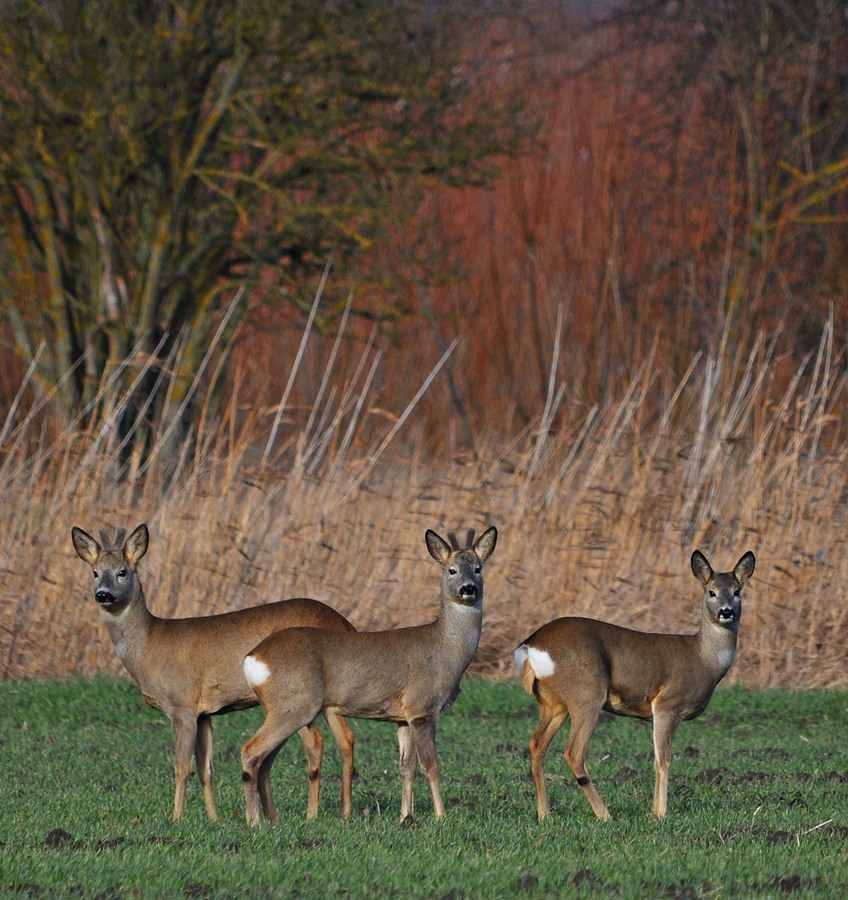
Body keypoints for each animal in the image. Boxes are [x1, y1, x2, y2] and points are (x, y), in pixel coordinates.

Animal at [68, 520, 354, 824]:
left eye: (122, 571)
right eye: (95, 572)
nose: (103, 594)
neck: (149, 645)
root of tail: (345, 623)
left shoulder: (181, 704)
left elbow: (182, 766)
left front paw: (176, 818)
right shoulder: (204, 713)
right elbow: (206, 769)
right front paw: (214, 818)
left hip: (297, 692)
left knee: (316, 742)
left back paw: (312, 815)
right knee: (345, 738)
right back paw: (340, 812)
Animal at [238, 524, 496, 828]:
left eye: (478, 568)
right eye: (451, 570)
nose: (469, 588)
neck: (445, 650)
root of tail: (253, 657)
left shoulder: (402, 718)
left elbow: (406, 767)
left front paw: (405, 817)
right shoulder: (422, 707)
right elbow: (431, 765)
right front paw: (441, 816)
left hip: (281, 708)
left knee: (263, 758)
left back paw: (269, 819)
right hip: (295, 705)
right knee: (250, 751)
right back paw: (254, 821)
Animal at [512, 548, 760, 824]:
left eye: (737, 591)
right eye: (711, 592)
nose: (726, 612)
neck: (704, 658)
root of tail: (531, 645)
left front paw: (655, 810)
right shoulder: (667, 704)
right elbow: (663, 759)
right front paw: (660, 813)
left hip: (553, 703)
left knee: (536, 745)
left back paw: (545, 813)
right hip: (586, 694)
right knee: (573, 753)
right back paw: (604, 814)